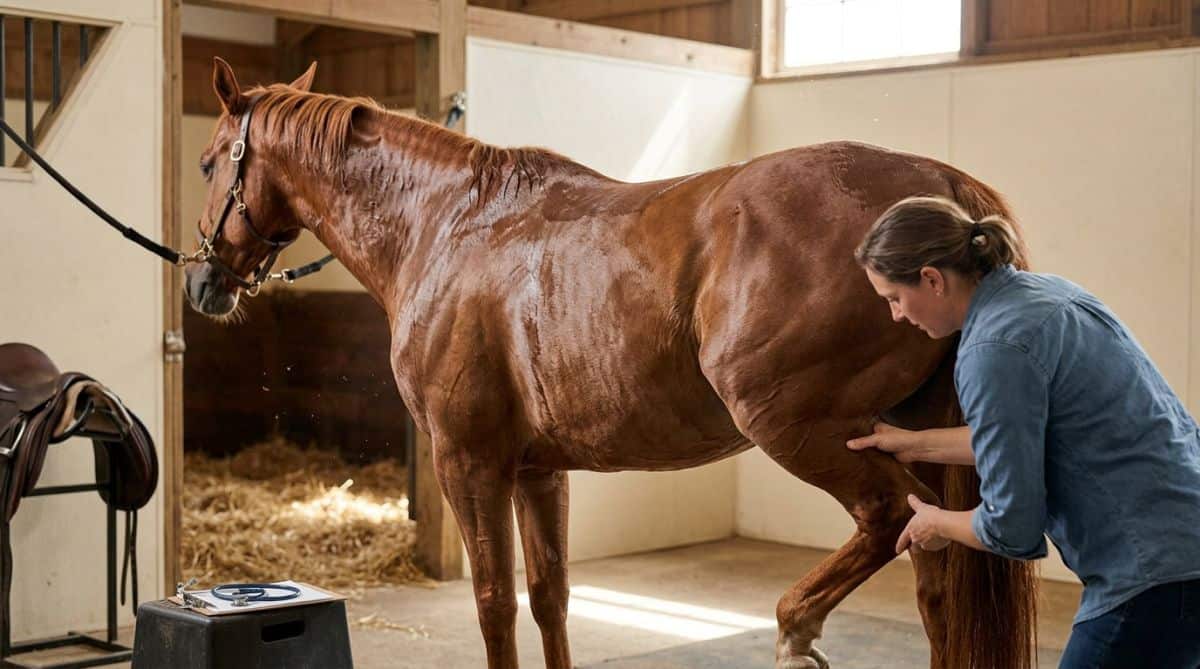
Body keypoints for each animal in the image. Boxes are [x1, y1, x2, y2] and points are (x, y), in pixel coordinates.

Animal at [185, 57, 1039, 669]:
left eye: (206, 162)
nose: (201, 282)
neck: (446, 224)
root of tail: (944, 188)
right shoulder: (537, 469)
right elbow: (549, 597)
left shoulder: (469, 460)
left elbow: (494, 603)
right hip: (908, 435)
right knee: (935, 574)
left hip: (796, 425)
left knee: (890, 519)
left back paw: (796, 626)